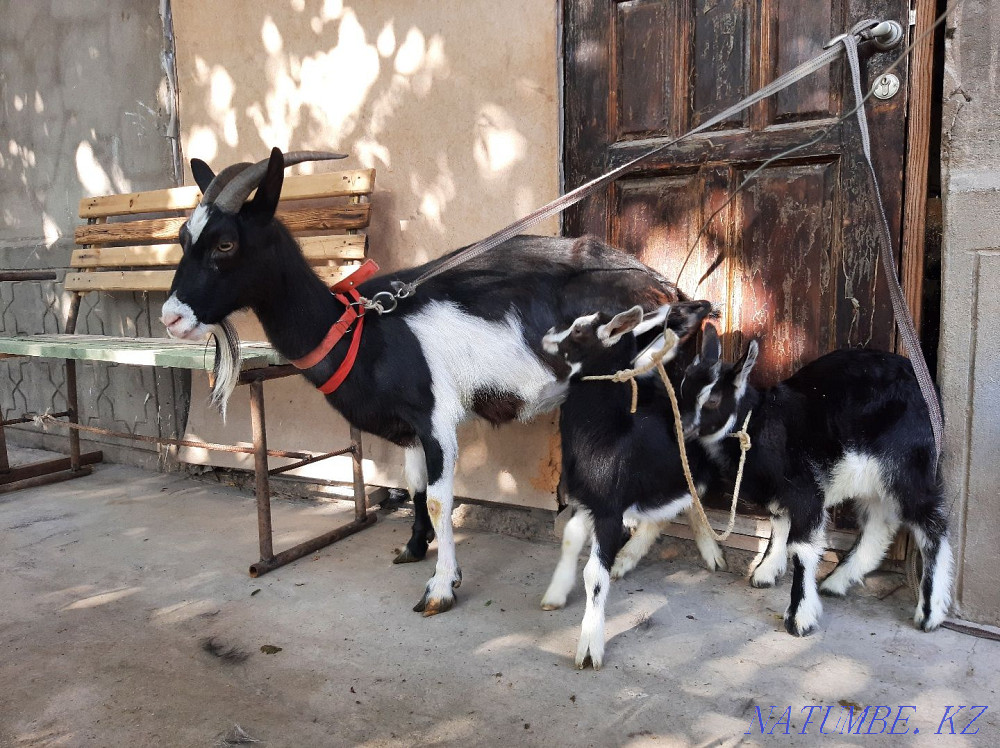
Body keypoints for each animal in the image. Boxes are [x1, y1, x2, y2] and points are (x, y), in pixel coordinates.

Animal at [161, 147, 688, 617]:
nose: (171, 317)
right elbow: (412, 486)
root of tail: (664, 285)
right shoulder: (409, 425)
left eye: (225, 243)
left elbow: (438, 499)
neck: (360, 330)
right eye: (184, 238)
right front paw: (415, 548)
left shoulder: (437, 417)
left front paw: (441, 588)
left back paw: (626, 557)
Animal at [538, 303, 726, 669]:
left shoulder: (609, 510)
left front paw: (589, 648)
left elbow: (594, 575)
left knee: (689, 503)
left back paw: (708, 553)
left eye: (579, 330)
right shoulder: (587, 501)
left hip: (693, 471)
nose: (547, 335)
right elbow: (569, 538)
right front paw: (555, 593)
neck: (607, 433)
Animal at [676, 324, 952, 636]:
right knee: (879, 525)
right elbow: (778, 527)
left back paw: (930, 611)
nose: (680, 426)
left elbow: (801, 548)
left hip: (907, 465)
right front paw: (766, 572)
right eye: (682, 389)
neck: (759, 424)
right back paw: (837, 581)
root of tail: (928, 389)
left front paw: (799, 617)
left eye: (712, 400)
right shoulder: (782, 494)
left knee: (931, 526)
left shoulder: (804, 491)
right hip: (875, 477)